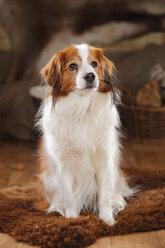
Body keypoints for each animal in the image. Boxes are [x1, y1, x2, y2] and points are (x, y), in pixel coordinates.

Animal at [35, 43, 134, 226]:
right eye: (72, 66)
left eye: (94, 64)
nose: (90, 76)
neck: (82, 107)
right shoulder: (64, 163)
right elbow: (69, 196)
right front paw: (72, 219)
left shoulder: (104, 160)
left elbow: (104, 195)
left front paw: (107, 220)